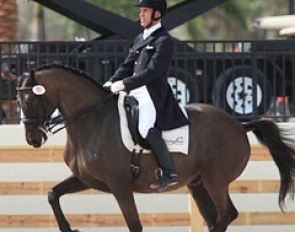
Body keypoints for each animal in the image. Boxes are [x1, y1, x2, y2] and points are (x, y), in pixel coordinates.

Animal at [15, 64, 295, 232]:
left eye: (30, 100)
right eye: (18, 100)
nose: (32, 139)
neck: (91, 120)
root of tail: (239, 124)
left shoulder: (120, 185)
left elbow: (135, 225)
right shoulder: (87, 179)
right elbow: (53, 194)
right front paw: (69, 227)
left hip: (215, 180)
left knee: (227, 214)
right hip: (198, 184)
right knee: (216, 217)